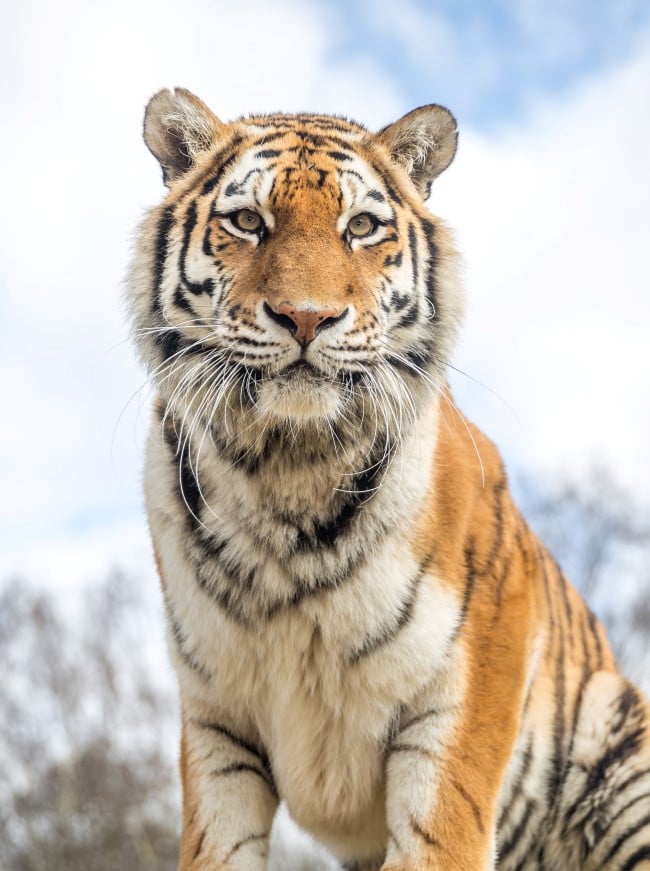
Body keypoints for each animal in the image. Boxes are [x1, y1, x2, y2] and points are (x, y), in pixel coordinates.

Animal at [126, 87, 650, 870]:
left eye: (362, 226)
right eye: (248, 221)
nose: (306, 317)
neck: (287, 468)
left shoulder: (468, 687)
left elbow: (440, 837)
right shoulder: (217, 720)